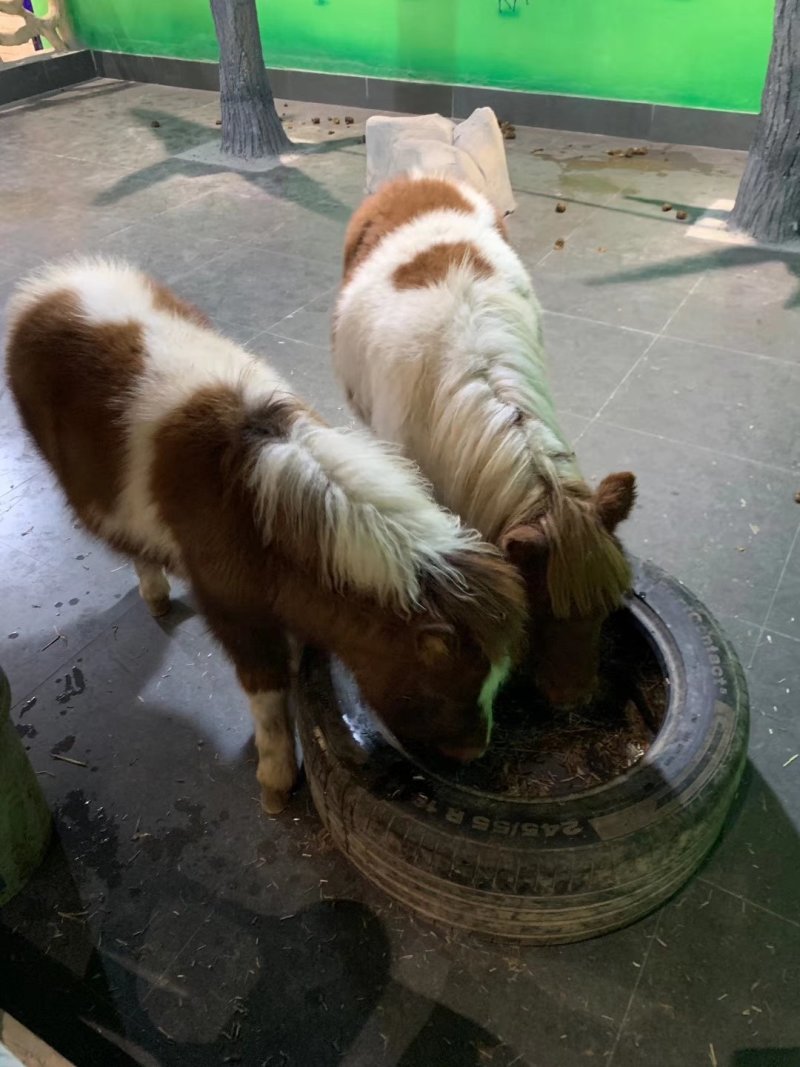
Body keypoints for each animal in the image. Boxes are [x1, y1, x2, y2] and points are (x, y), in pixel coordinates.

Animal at [5, 258, 527, 813]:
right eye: (442, 688)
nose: (473, 752)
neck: (253, 509)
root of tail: (49, 288)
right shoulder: (235, 617)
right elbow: (267, 693)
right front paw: (276, 780)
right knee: (132, 549)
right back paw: (156, 596)